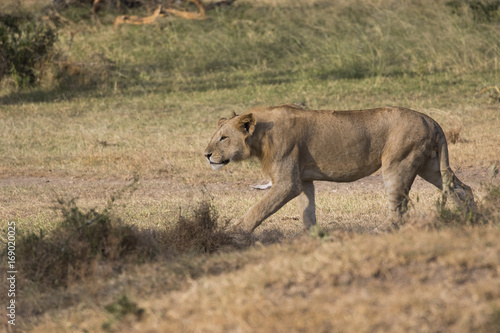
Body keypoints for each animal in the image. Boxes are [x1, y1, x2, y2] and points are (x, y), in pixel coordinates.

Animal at [204, 104, 476, 231]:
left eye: (223, 138)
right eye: (214, 136)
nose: (206, 155)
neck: (260, 135)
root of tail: (431, 120)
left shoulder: (287, 183)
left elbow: (259, 208)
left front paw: (236, 231)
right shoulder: (303, 180)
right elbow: (307, 211)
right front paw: (313, 236)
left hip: (398, 164)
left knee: (399, 210)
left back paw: (378, 232)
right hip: (430, 166)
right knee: (463, 189)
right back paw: (472, 217)